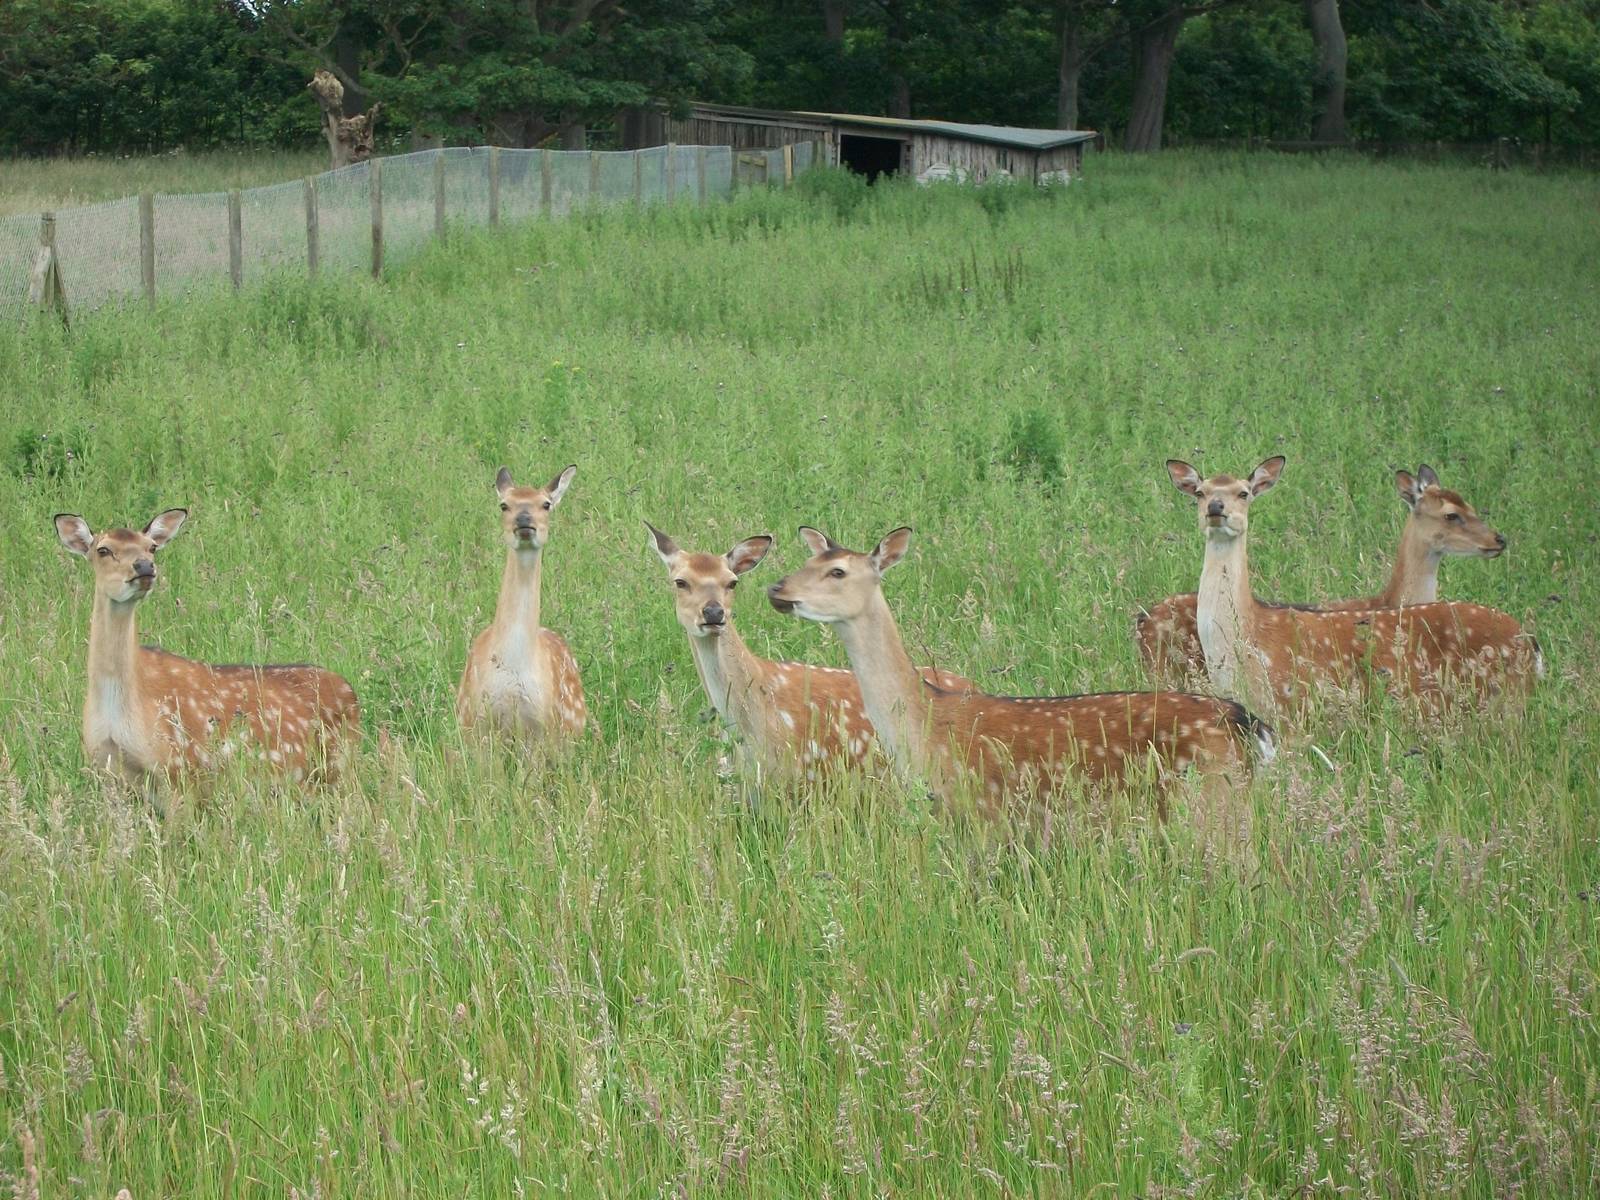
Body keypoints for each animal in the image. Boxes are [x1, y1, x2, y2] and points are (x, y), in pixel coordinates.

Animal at [53, 509, 361, 789]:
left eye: (151, 547)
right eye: (103, 550)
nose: (144, 567)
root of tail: (350, 691)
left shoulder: (181, 768)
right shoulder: (109, 773)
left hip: (340, 766)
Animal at [766, 527, 1275, 828]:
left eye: (837, 571)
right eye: (805, 563)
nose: (777, 588)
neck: (926, 730)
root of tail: (1247, 724)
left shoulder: (982, 813)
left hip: (1214, 796)